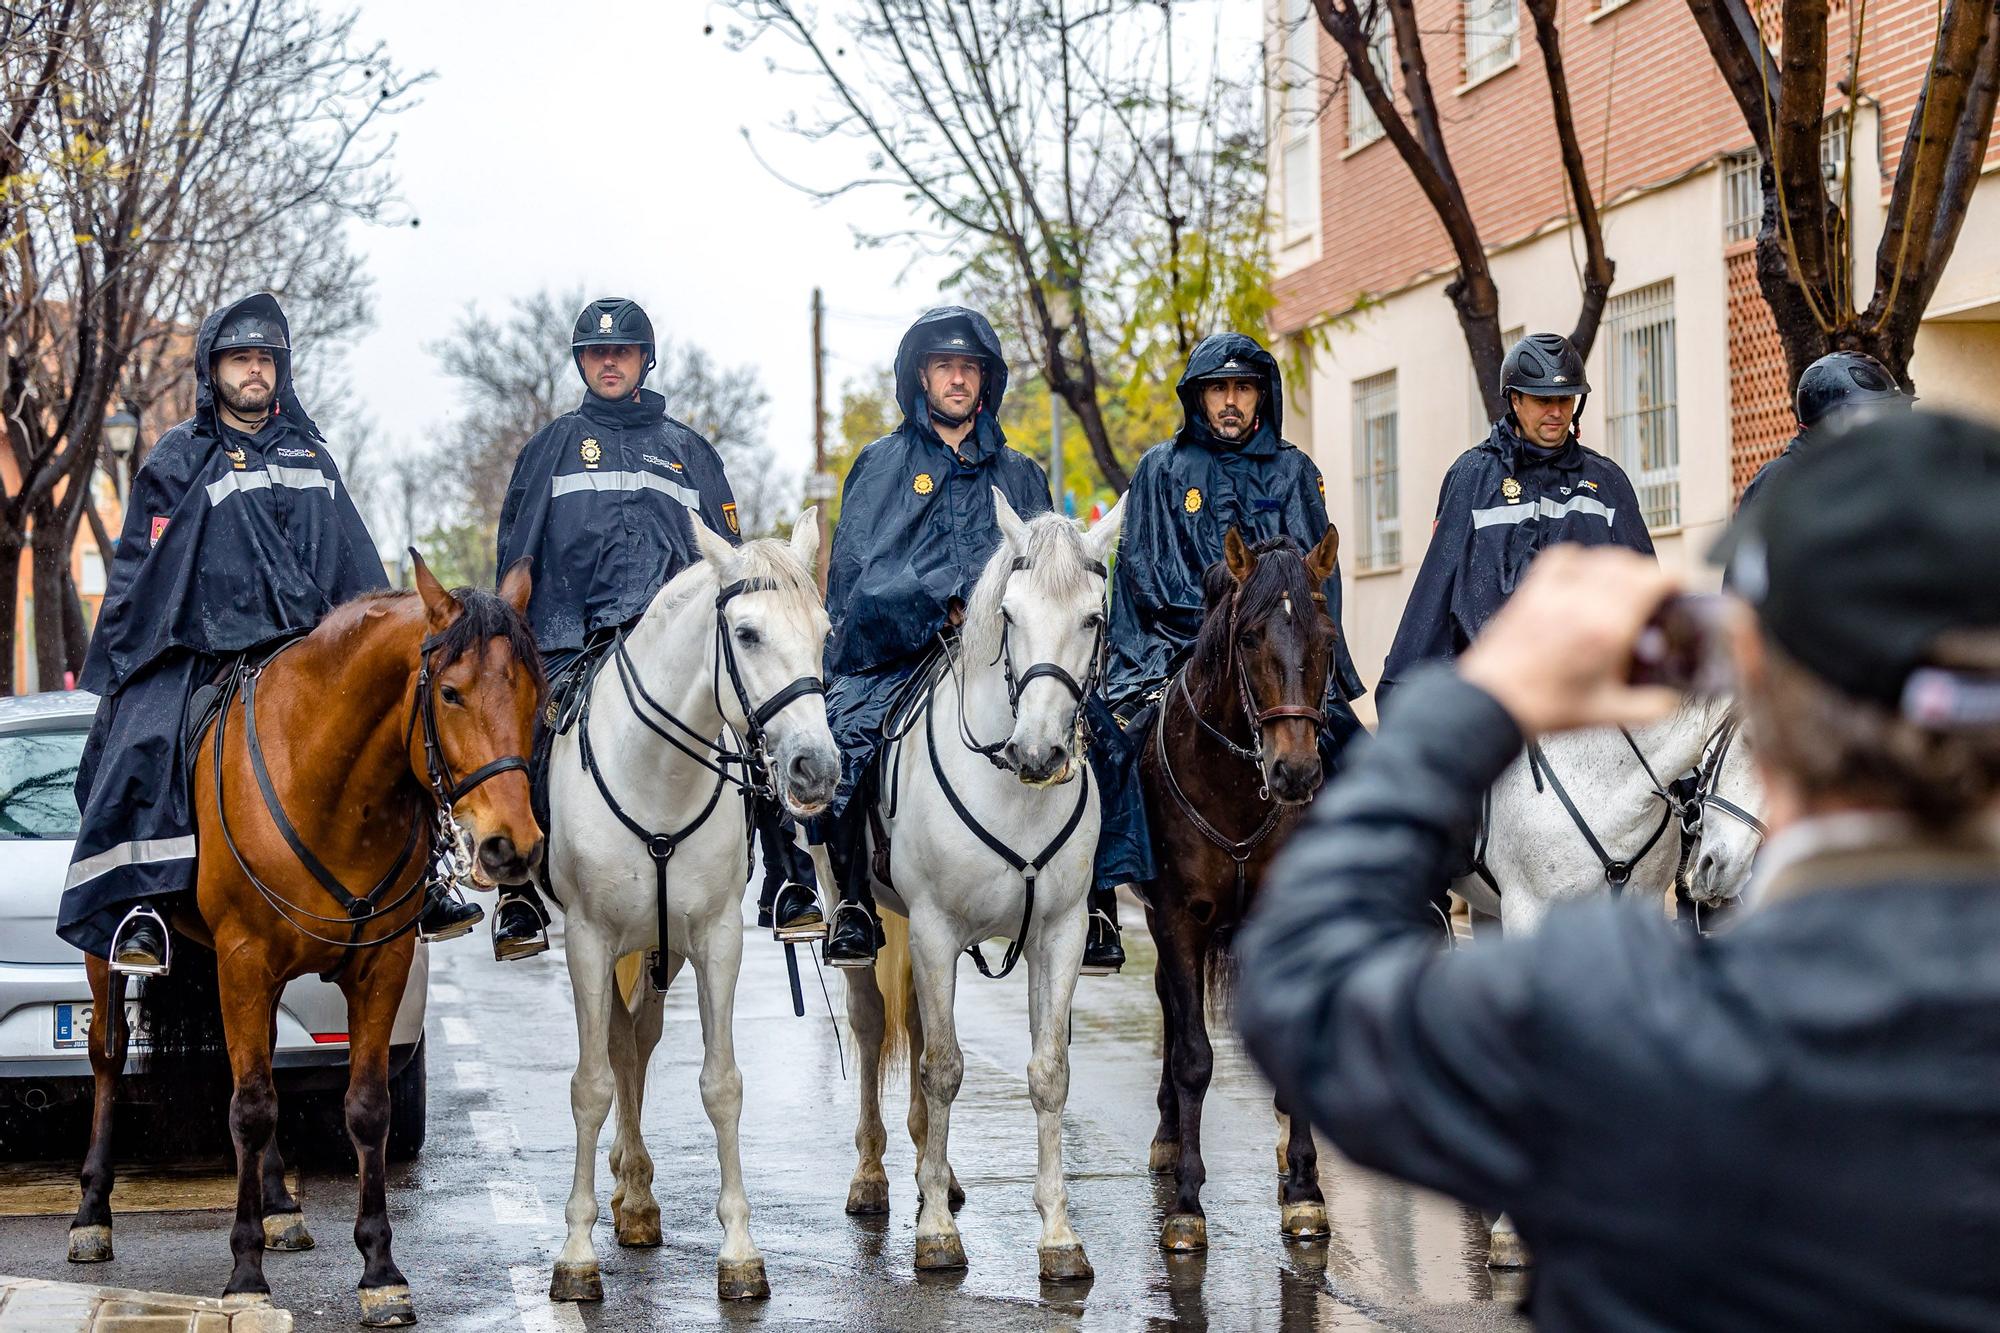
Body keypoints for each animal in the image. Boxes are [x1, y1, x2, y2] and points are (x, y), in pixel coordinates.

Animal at [66, 556, 544, 1320]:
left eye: (536, 694)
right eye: (450, 692)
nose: (512, 846)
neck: (330, 784)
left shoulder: (380, 966)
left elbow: (365, 1109)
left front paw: (380, 1270)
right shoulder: (243, 961)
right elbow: (251, 1106)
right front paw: (245, 1274)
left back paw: (280, 1206)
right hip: (106, 955)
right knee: (109, 1058)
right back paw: (92, 1215)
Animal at [540, 508, 836, 1296]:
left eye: (825, 631)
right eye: (748, 634)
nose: (817, 767)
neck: (657, 776)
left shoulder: (713, 938)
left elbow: (721, 1084)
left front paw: (739, 1248)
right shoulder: (587, 940)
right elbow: (589, 1086)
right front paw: (575, 1252)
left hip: (657, 949)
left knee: (635, 1043)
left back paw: (637, 1192)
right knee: (616, 1051)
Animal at [816, 488, 1128, 1280]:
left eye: (1093, 617)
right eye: (1009, 615)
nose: (1039, 752)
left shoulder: (1059, 934)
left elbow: (1047, 1073)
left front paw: (1058, 1235)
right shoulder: (932, 927)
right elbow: (943, 1068)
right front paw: (934, 1233)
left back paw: (942, 1172)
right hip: (867, 921)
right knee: (875, 1029)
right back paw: (874, 1178)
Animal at [1144, 524, 1344, 1248]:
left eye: (1327, 636)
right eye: (1252, 637)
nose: (1296, 772)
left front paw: (1305, 1190)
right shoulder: (1176, 917)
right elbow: (1193, 1057)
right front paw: (1186, 1202)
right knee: (1173, 1016)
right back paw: (1168, 1136)